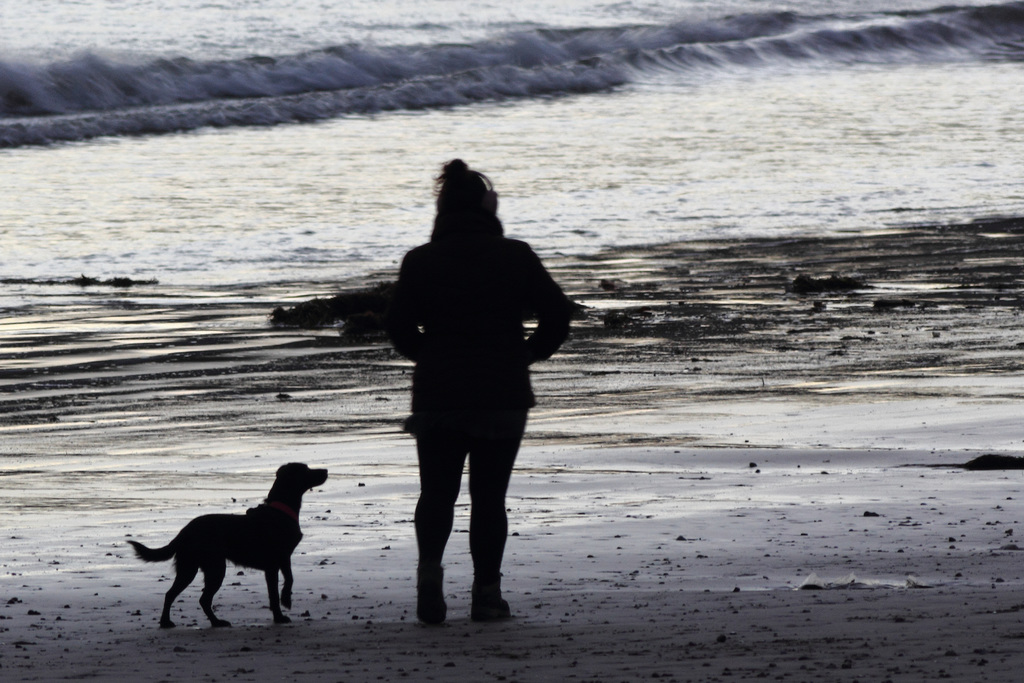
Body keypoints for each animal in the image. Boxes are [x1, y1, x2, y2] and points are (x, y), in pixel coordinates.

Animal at [128, 462, 327, 626]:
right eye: (306, 469)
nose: (325, 470)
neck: (280, 510)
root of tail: (184, 532)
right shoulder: (279, 559)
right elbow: (286, 583)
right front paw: (283, 608)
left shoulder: (275, 564)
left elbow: (277, 590)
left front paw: (279, 613)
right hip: (210, 568)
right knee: (195, 597)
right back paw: (183, 622)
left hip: (194, 566)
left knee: (183, 596)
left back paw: (208, 622)